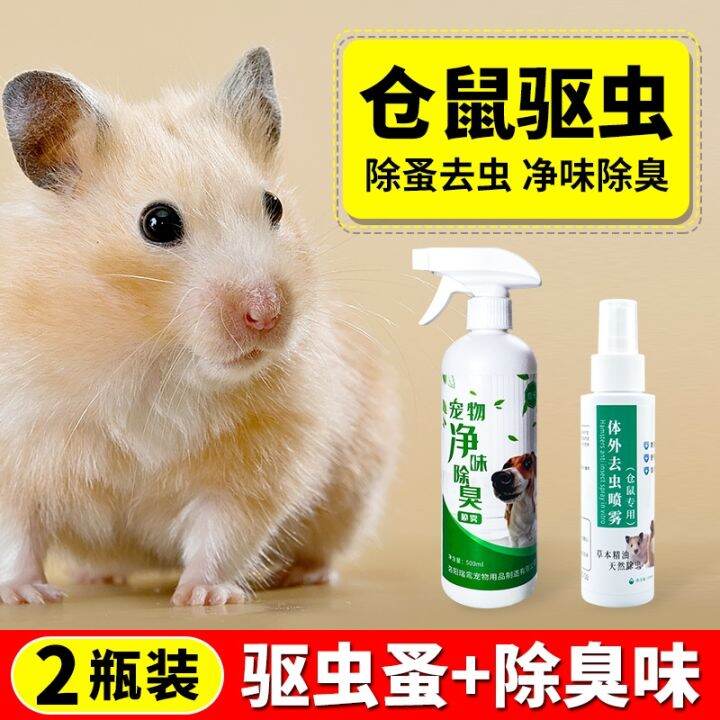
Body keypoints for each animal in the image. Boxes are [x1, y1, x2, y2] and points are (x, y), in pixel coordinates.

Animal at [0, 48, 397, 606]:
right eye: (158, 223)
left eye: (274, 205)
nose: (267, 313)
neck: (155, 357)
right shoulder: (19, 448)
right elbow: (17, 534)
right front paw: (26, 595)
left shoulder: (258, 465)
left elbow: (222, 533)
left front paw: (205, 598)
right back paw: (95, 577)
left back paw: (302, 575)